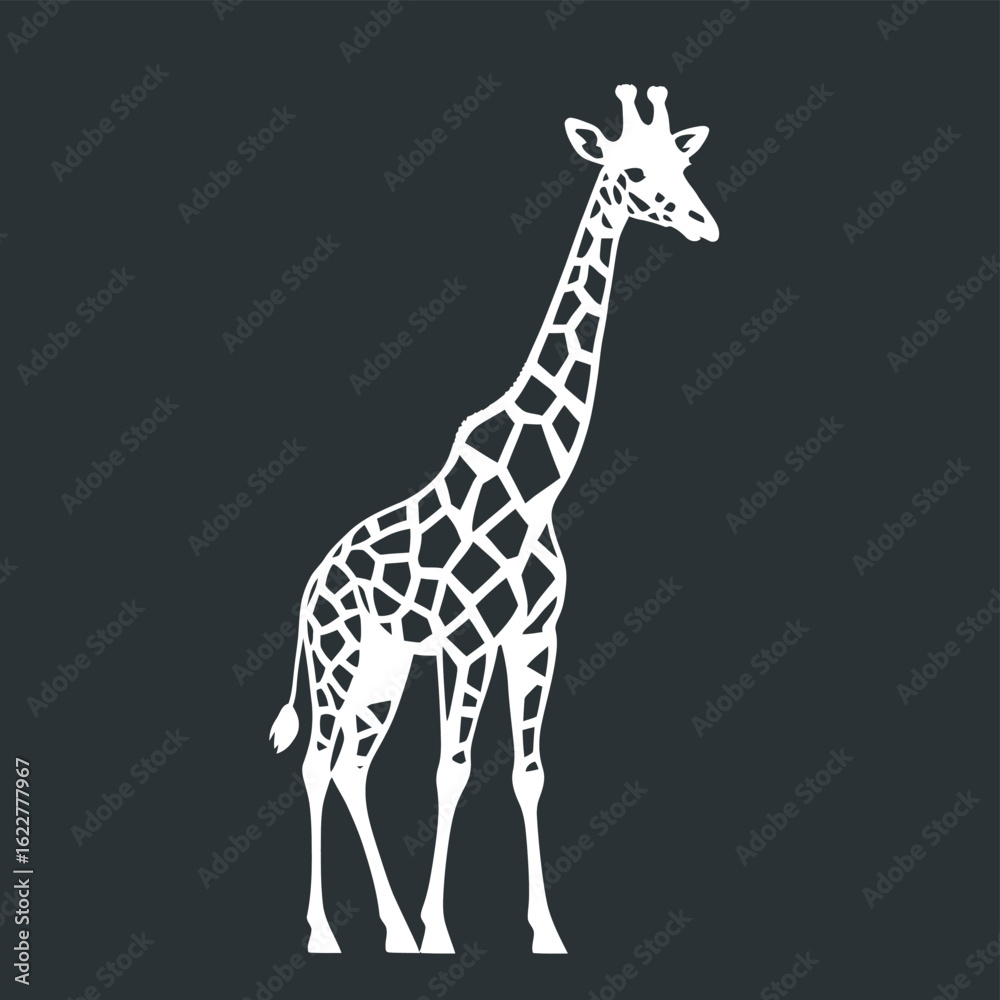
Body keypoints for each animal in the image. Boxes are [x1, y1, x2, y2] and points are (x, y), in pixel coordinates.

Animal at [269, 83, 718, 955]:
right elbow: (452, 769)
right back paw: (326, 933)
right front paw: (442, 931)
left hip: (384, 667)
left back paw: (389, 929)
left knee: (352, 768)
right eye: (632, 172)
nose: (703, 223)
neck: (540, 484)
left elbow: (528, 773)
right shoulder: (467, 641)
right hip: (340, 658)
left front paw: (544, 931)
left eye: (682, 164)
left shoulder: (535, 635)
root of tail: (309, 587)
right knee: (314, 763)